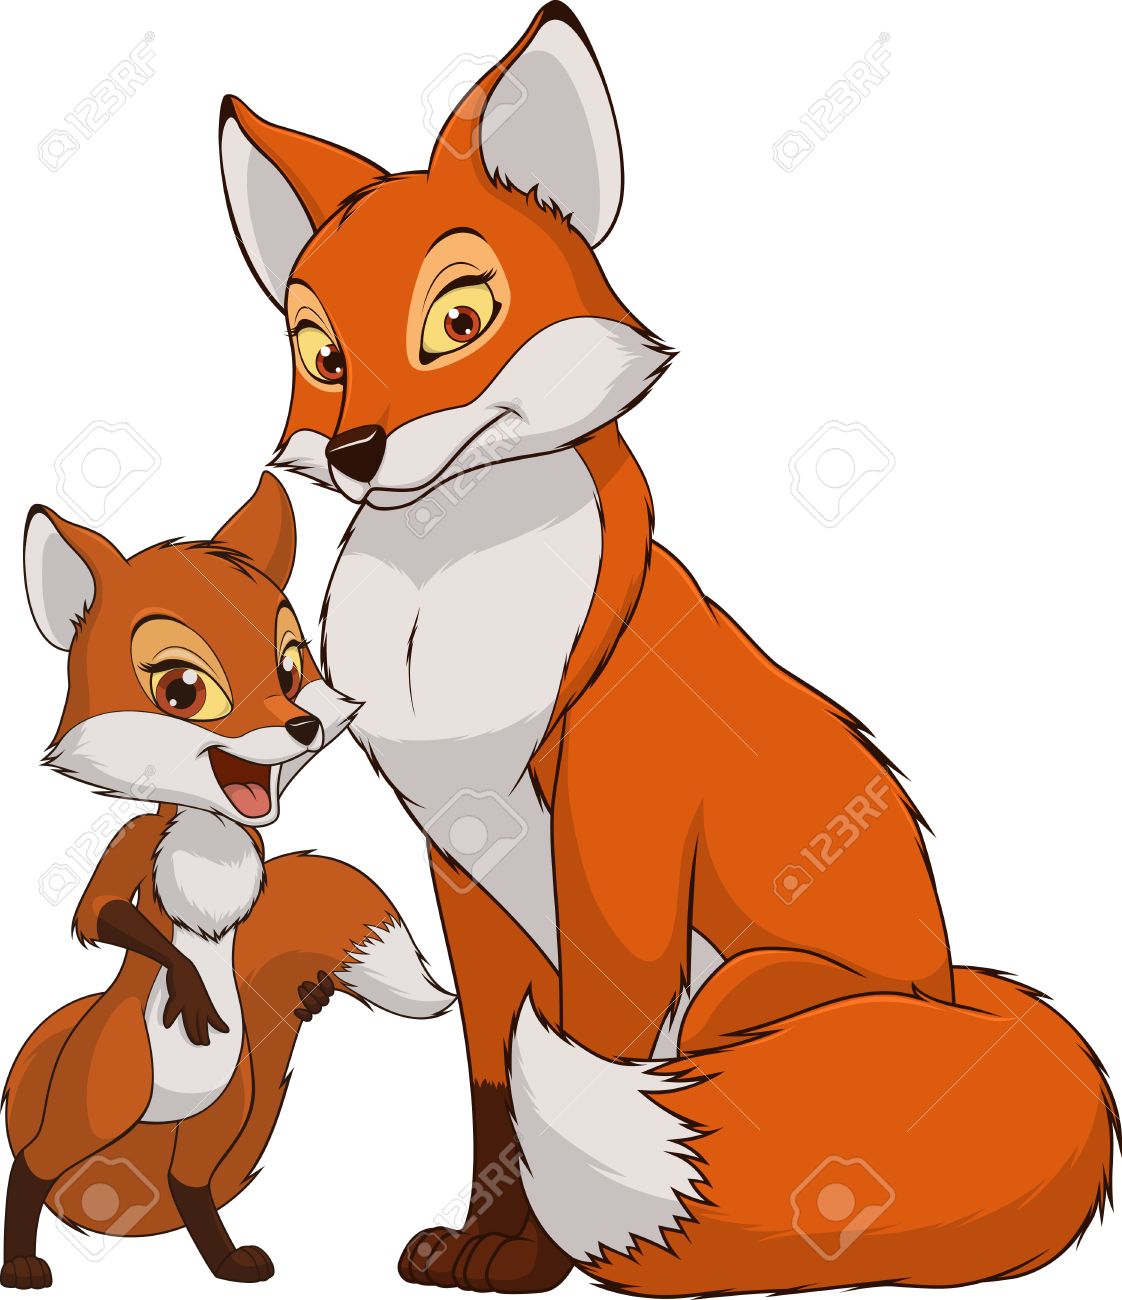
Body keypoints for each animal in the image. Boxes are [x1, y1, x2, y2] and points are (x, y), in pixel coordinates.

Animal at [2, 473, 453, 1289]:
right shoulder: (131, 847)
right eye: (183, 689)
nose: (303, 726)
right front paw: (188, 982)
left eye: (290, 668)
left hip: (222, 1112)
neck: (209, 836)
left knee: (190, 1184)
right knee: (35, 1163)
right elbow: (100, 913)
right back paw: (20, 1263)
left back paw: (227, 1261)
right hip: (106, 1096)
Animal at [217, 5, 1118, 1294]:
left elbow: (584, 1055)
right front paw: (485, 1239)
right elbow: (493, 1081)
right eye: (321, 353)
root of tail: (957, 992)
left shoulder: (616, 855)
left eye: (458, 319)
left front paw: (536, 1258)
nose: (354, 451)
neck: (450, 625)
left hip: (747, 985)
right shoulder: (463, 869)